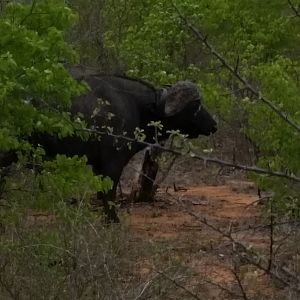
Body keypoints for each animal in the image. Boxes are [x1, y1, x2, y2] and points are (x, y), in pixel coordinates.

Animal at [0, 69, 217, 220]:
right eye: (196, 105)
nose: (214, 124)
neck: (136, 105)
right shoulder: (113, 163)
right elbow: (109, 192)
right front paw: (112, 220)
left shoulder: (97, 166)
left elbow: (101, 192)